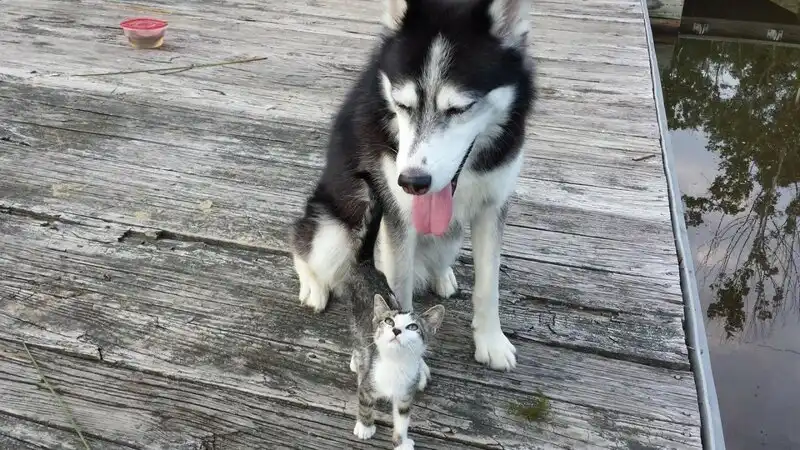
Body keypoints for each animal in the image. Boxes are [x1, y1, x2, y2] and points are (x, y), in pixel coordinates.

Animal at [290, 0, 535, 372]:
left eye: (460, 108)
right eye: (403, 105)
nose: (412, 182)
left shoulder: (492, 208)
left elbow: (488, 285)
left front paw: (491, 341)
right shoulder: (398, 220)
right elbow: (397, 292)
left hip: (449, 235)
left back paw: (442, 275)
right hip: (333, 233)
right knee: (302, 243)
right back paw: (313, 287)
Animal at [342, 259, 445, 449]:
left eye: (413, 326)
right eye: (389, 321)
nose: (396, 330)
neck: (395, 363)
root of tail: (367, 265)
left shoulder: (405, 394)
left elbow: (402, 418)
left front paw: (401, 442)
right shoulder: (369, 383)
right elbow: (365, 403)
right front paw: (365, 427)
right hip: (355, 320)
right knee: (359, 342)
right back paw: (356, 362)